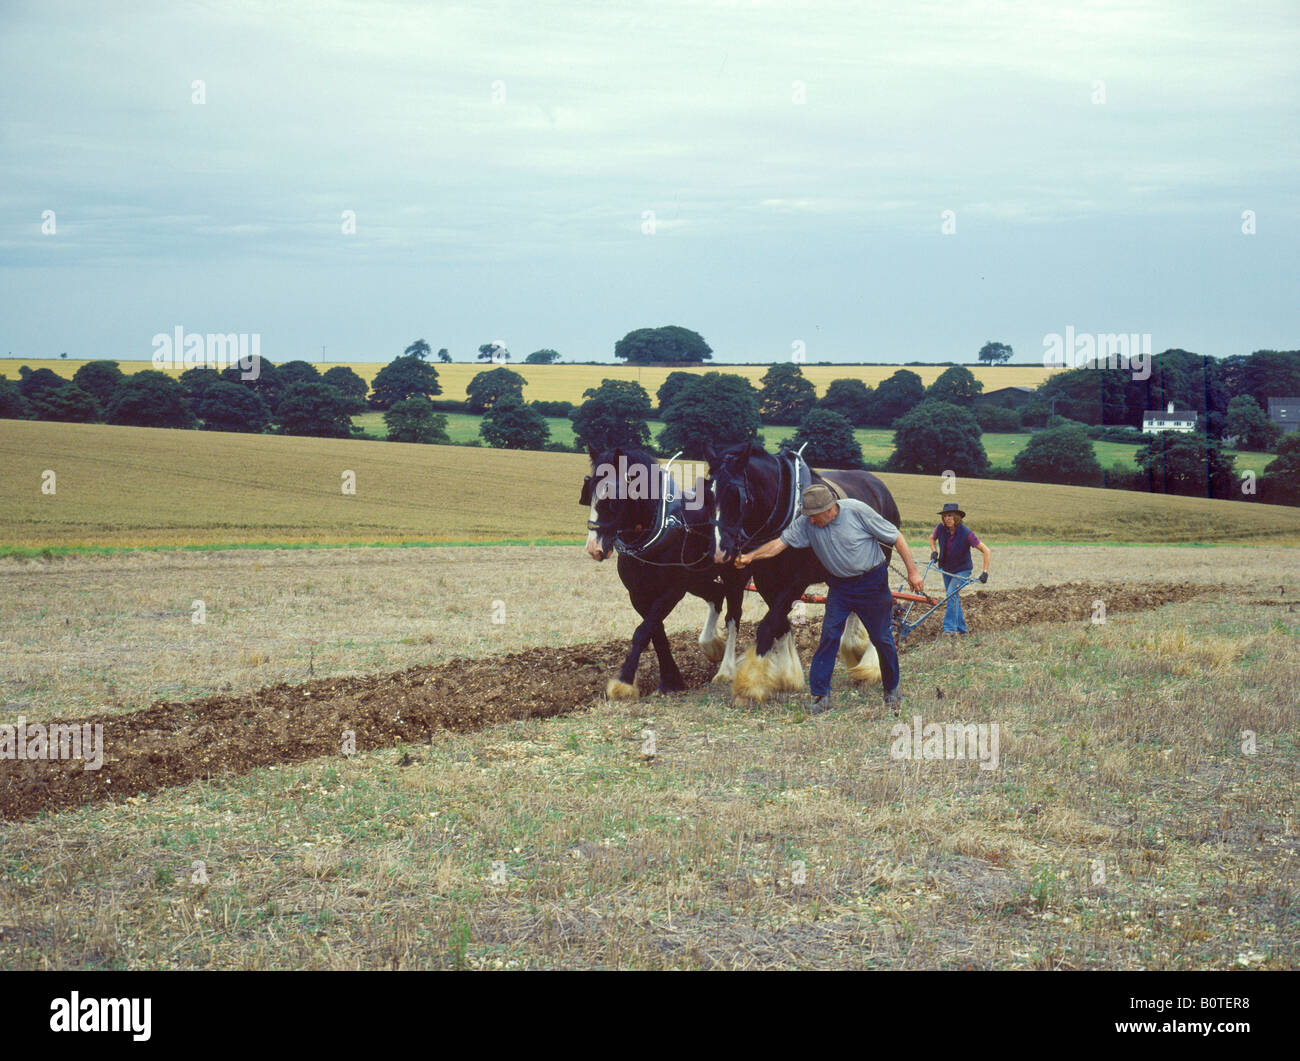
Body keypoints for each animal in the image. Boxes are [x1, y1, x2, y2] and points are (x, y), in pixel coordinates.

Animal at [585, 444, 748, 702]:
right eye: (589, 491)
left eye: (613, 497)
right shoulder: (639, 594)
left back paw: (726, 669)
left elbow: (643, 632)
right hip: (697, 579)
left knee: (734, 616)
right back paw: (712, 645)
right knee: (716, 595)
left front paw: (623, 682)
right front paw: (672, 680)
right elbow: (656, 632)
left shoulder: (672, 591)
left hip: (735, 577)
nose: (594, 547)